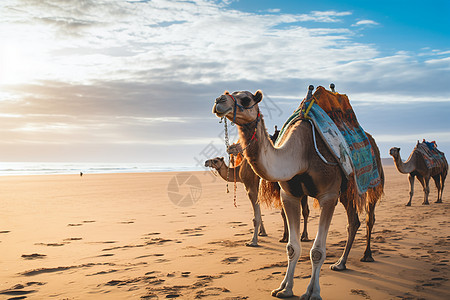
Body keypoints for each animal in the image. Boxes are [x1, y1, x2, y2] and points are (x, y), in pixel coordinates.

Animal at [212, 86, 384, 298]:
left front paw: (313, 292)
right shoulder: (289, 196)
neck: (301, 153)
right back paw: (340, 263)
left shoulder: (328, 196)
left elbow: (317, 251)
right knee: (353, 222)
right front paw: (284, 288)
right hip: (345, 193)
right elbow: (292, 248)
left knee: (369, 217)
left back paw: (367, 255)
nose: (219, 101)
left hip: (370, 182)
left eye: (245, 99)